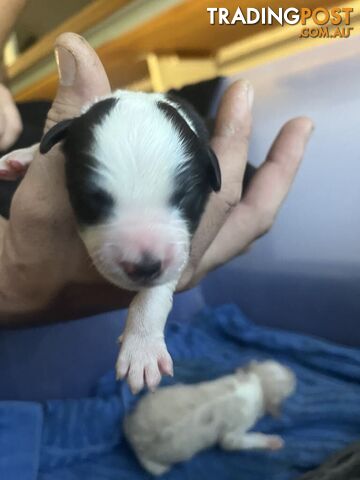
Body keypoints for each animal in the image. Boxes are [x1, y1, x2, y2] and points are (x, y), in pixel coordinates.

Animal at [0, 90, 221, 394]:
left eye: (187, 199)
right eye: (89, 201)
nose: (144, 267)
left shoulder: (178, 250)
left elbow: (156, 291)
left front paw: (142, 349)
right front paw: (23, 155)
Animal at [124, 360, 296, 476]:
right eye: (289, 384)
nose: (293, 373)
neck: (256, 383)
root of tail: (131, 434)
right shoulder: (240, 425)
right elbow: (231, 442)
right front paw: (271, 441)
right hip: (156, 465)